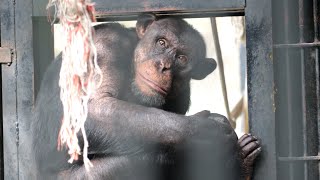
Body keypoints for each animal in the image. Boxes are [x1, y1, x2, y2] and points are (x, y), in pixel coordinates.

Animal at [32, 14, 262, 180]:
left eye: (182, 57)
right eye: (161, 43)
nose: (164, 65)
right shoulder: (104, 45)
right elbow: (91, 108)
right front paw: (206, 132)